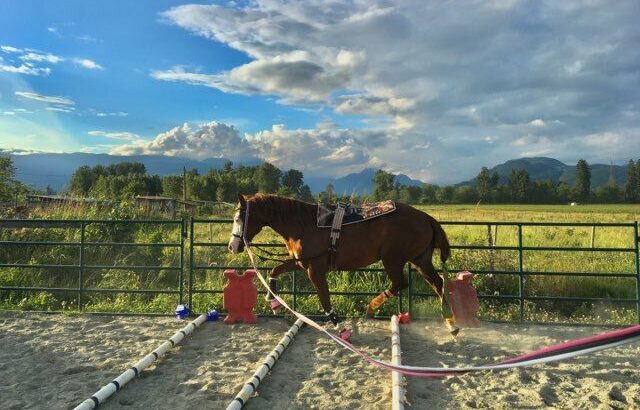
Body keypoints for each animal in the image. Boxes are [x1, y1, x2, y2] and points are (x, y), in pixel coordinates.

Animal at [228, 193, 458, 334]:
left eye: (239, 219)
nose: (232, 246)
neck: (303, 223)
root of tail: (426, 218)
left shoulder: (315, 270)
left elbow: (324, 299)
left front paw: (341, 328)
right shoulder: (301, 263)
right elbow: (274, 271)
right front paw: (273, 303)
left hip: (393, 259)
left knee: (402, 283)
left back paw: (371, 307)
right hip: (420, 260)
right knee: (437, 283)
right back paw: (451, 324)